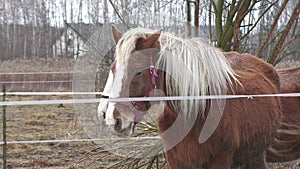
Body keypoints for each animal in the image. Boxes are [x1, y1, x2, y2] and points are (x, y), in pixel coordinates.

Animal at [109, 25, 282, 168]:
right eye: (113, 68)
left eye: (138, 71)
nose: (116, 119)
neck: (196, 111)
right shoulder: (176, 161)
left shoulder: (220, 162)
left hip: (256, 155)